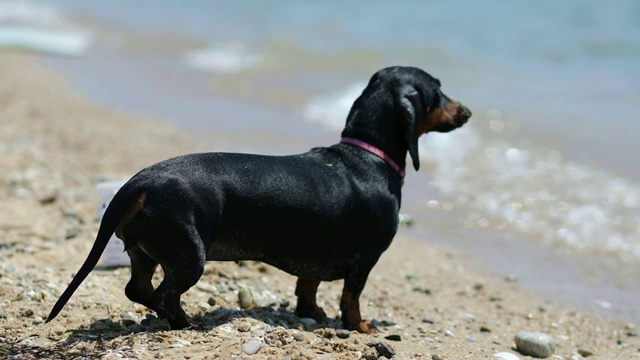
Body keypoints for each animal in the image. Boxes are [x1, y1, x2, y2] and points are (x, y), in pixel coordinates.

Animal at [46, 66, 470, 334]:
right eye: (438, 91)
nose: (467, 111)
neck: (367, 155)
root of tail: (141, 180)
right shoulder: (365, 260)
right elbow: (351, 298)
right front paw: (360, 326)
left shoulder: (314, 255)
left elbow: (308, 285)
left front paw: (312, 314)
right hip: (188, 255)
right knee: (165, 294)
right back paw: (187, 323)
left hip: (145, 251)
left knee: (138, 289)